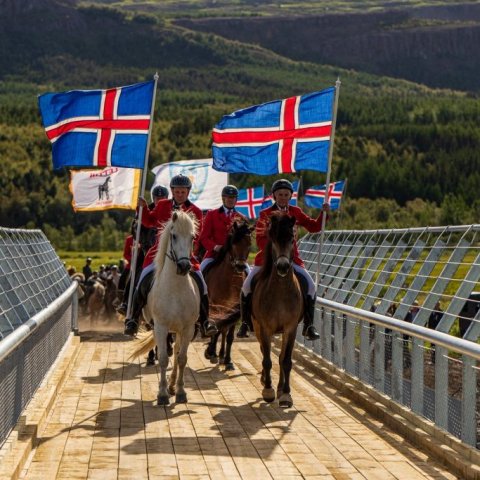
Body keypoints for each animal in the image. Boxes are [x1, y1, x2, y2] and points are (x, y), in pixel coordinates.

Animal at [129, 212, 199, 404]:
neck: (176, 288)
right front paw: (162, 394)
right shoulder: (161, 327)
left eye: (192, 237)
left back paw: (173, 385)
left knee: (176, 352)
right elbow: (162, 359)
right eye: (173, 236)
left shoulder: (188, 328)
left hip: (179, 330)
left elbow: (182, 358)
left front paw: (181, 391)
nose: (184, 266)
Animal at [203, 219, 253, 370]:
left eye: (249, 244)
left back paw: (221, 355)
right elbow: (216, 328)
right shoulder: (216, 306)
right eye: (234, 243)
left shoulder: (234, 309)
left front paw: (228, 360)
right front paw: (210, 351)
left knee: (224, 331)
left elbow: (229, 335)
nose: (240, 266)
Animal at [251, 214, 304, 408]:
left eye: (292, 239)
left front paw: (286, 394)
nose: (282, 267)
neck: (281, 290)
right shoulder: (265, 328)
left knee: (281, 357)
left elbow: (286, 360)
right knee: (263, 351)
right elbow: (267, 360)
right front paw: (268, 390)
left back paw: (281, 388)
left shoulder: (291, 328)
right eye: (272, 239)